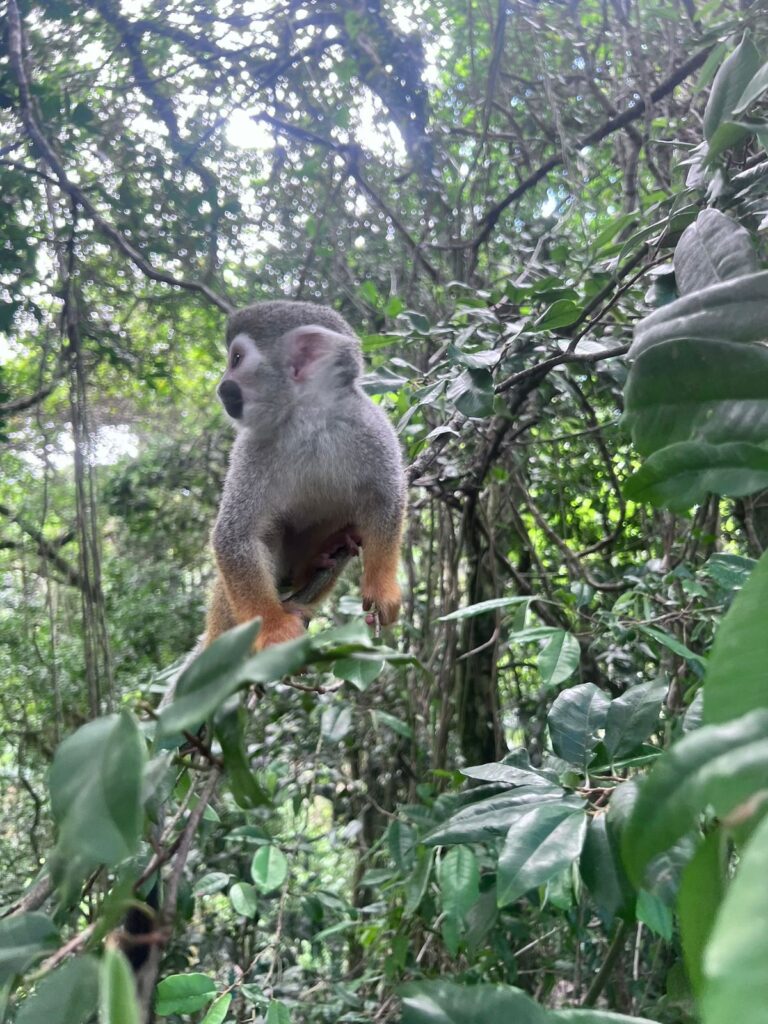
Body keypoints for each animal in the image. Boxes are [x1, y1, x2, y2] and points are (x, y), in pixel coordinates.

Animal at [205, 300, 405, 651]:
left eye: (236, 360)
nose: (221, 387)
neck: (308, 418)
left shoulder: (371, 426)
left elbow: (385, 500)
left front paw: (381, 587)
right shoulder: (251, 447)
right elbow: (235, 536)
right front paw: (272, 628)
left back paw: (316, 561)